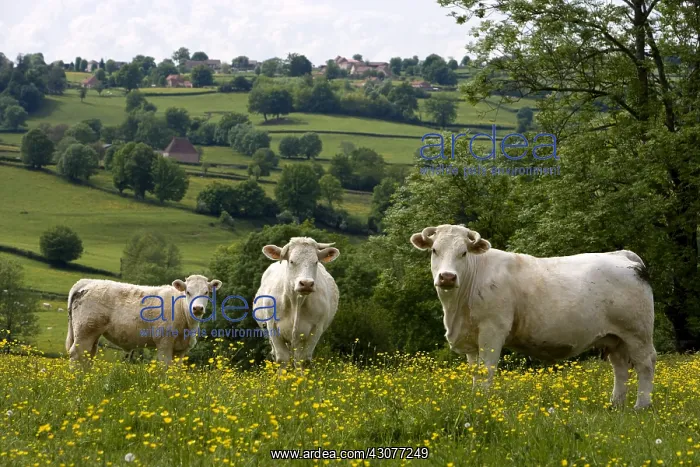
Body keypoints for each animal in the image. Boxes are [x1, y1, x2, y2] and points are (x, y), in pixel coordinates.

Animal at [65, 275, 222, 366]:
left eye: (206, 292)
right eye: (188, 292)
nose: (197, 308)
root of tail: (88, 281)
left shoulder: (181, 350)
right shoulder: (164, 344)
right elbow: (165, 368)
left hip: (93, 334)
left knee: (88, 356)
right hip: (84, 331)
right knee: (76, 354)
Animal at [254, 237, 340, 371]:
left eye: (316, 262)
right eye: (291, 261)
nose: (306, 283)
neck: (296, 302)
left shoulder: (316, 329)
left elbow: (302, 360)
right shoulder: (272, 327)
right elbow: (281, 358)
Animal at [410, 224, 656, 409]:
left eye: (463, 252)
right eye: (435, 250)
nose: (447, 277)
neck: (456, 310)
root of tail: (621, 255)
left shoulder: (492, 331)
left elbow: (486, 370)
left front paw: (483, 404)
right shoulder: (470, 338)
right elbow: (475, 373)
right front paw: (475, 400)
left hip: (638, 333)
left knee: (645, 364)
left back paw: (641, 406)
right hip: (615, 337)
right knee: (620, 368)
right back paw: (615, 405)